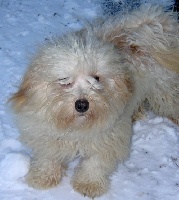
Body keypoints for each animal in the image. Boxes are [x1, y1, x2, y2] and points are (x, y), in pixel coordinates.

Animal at [11, 4, 179, 198]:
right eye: (65, 80)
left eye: (96, 78)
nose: (82, 105)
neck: (77, 127)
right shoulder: (47, 133)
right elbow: (48, 156)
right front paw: (42, 177)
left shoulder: (107, 137)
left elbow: (94, 163)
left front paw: (88, 184)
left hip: (164, 89)